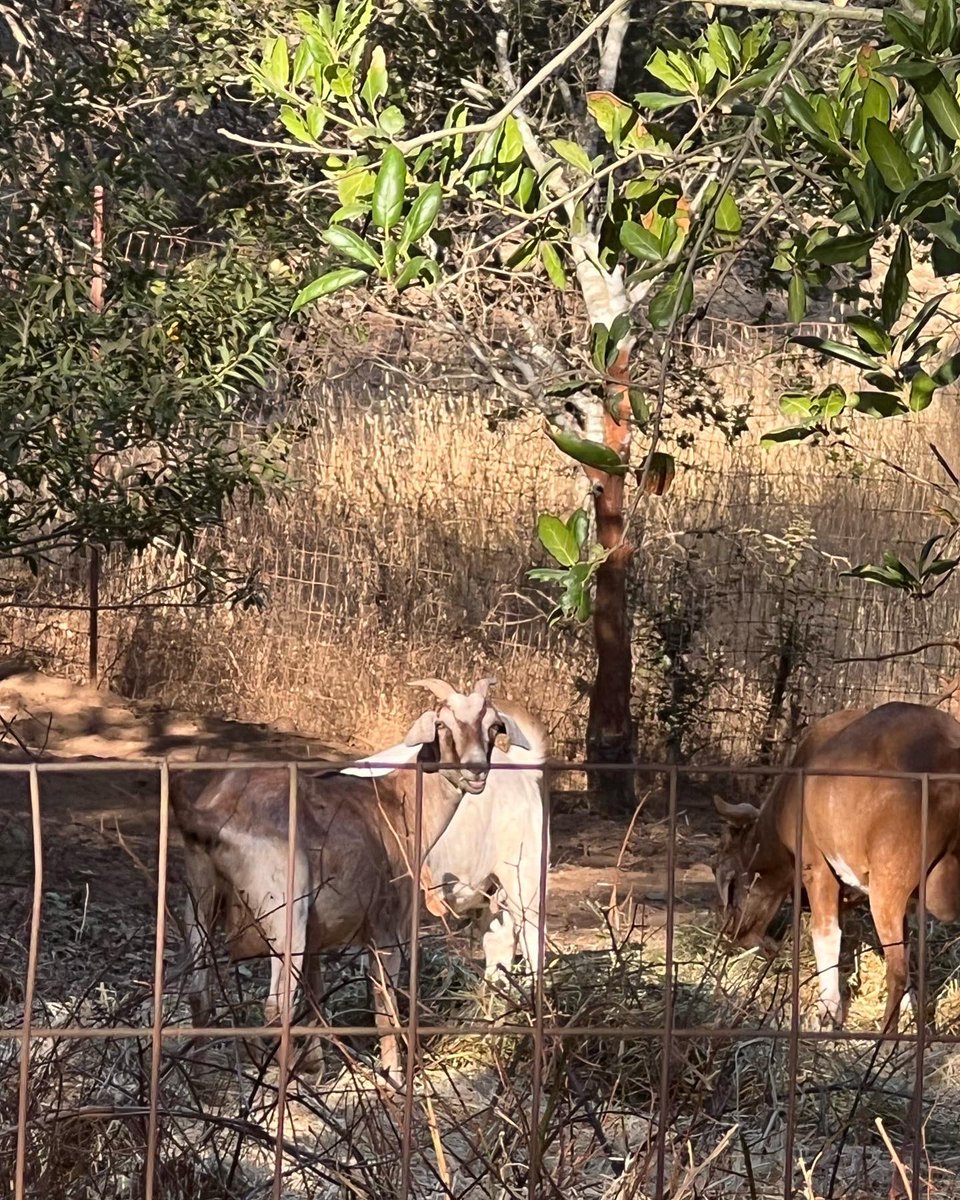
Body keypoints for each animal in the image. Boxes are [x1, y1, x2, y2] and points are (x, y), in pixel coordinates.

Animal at [171, 677, 549, 1082]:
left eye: (493, 727)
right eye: (442, 725)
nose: (476, 770)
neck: (396, 801)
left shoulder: (318, 935)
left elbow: (317, 996)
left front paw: (319, 1066)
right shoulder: (387, 926)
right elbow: (384, 1001)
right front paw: (394, 1073)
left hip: (201, 897)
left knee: (200, 994)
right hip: (285, 911)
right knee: (276, 1008)